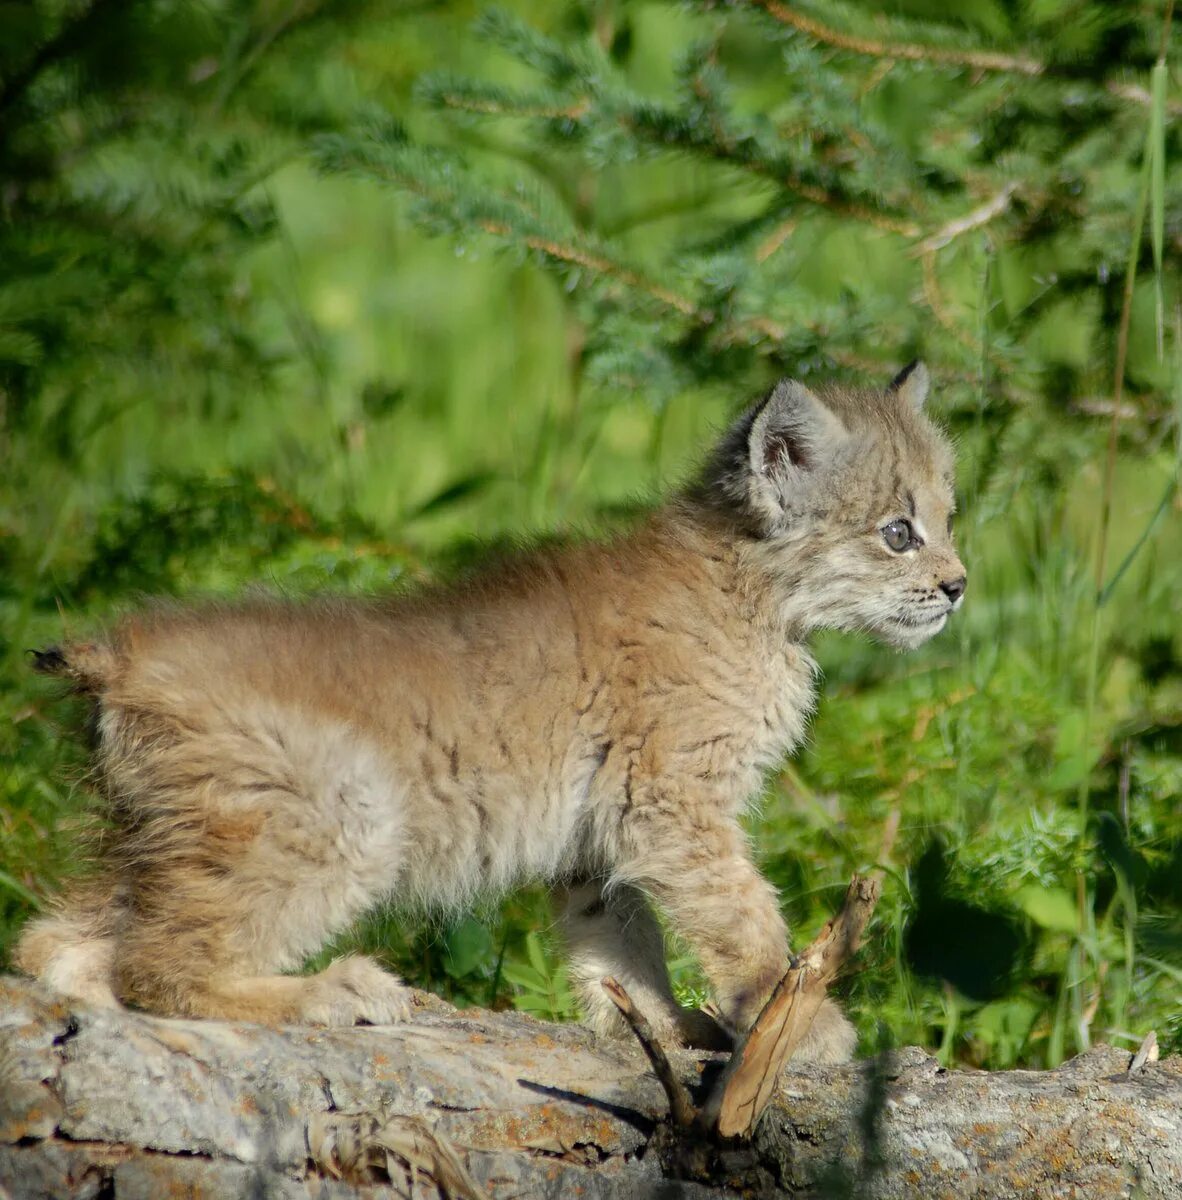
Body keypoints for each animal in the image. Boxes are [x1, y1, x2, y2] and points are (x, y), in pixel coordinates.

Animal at [18, 360, 960, 1065]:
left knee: (56, 947)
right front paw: (796, 1018)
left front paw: (663, 1027)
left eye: (949, 520)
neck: (760, 598)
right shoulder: (670, 800)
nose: (957, 586)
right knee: (154, 967)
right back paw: (337, 991)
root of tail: (120, 652)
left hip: (165, 832)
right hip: (345, 808)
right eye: (898, 533)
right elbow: (740, 910)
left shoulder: (602, 828)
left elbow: (624, 938)